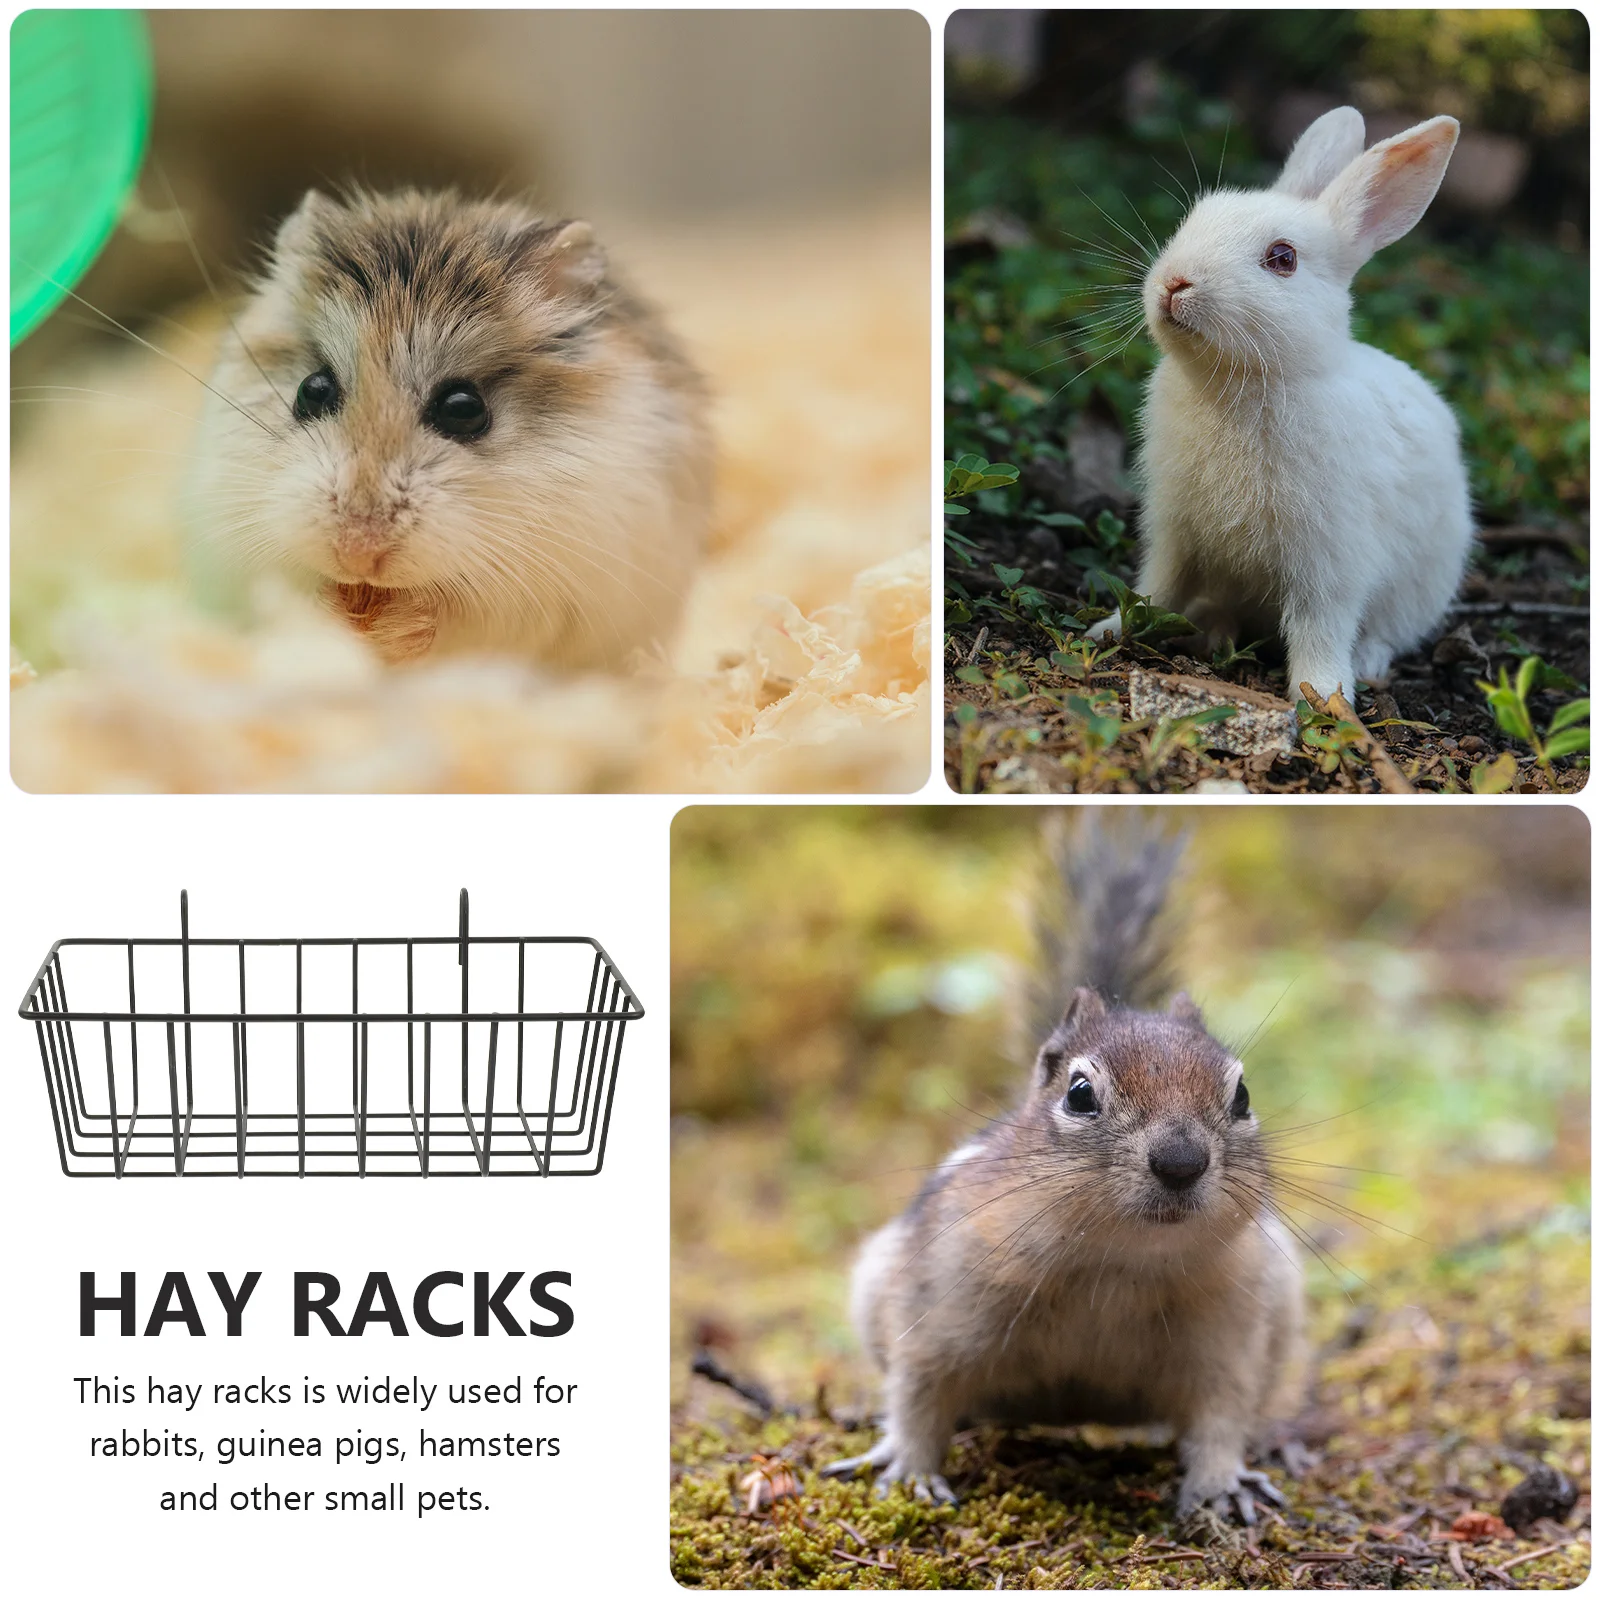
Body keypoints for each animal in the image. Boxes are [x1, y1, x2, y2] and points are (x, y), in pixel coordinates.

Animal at [1090, 107, 1474, 704]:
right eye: (1194, 219)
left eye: (1283, 258)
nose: (1175, 282)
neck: (1242, 382)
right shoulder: (1174, 531)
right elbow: (1157, 587)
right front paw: (1110, 629)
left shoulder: (1329, 560)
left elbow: (1320, 627)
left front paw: (1323, 697)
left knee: (1387, 632)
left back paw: (1366, 664)